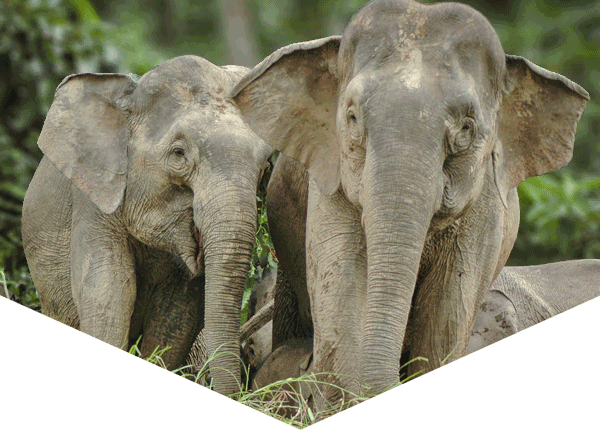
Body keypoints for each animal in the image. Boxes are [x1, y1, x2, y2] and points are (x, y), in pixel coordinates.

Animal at [231, 0, 592, 408]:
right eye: (352, 118)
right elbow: (343, 294)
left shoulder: (485, 210)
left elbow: (445, 321)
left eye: (466, 129)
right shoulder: (330, 183)